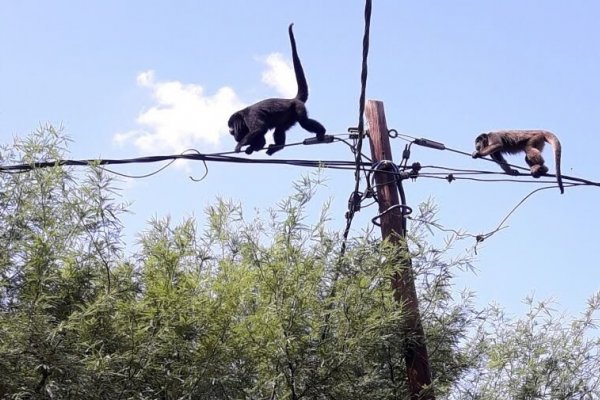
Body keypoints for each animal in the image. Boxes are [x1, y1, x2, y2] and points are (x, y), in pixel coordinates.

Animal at [229, 22, 326, 155]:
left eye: (232, 129)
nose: (232, 133)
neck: (243, 116)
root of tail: (292, 99)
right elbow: (261, 136)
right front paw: (252, 147)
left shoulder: (250, 116)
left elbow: (259, 129)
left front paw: (240, 145)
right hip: (289, 117)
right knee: (279, 129)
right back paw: (277, 147)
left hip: (298, 107)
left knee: (304, 122)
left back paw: (321, 132)